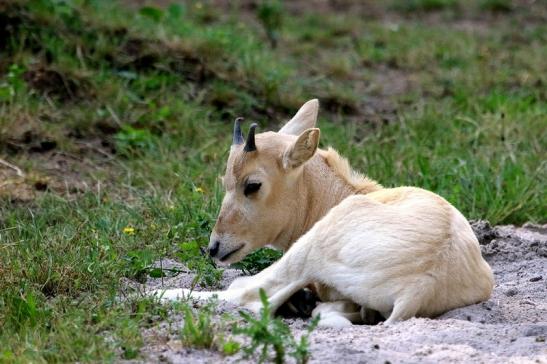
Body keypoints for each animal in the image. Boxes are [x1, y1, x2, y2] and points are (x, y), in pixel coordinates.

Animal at [152, 99, 494, 328]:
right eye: (225, 180)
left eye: (252, 185)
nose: (215, 247)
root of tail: (419, 288)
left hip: (312, 247)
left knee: (249, 296)